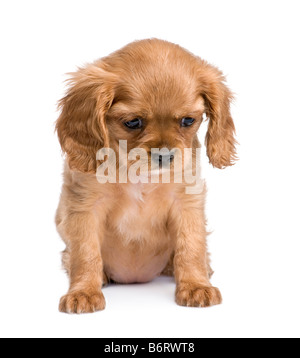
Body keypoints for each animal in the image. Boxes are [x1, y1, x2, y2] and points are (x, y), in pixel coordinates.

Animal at [55, 38, 236, 314]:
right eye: (132, 122)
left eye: (188, 120)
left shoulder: (187, 203)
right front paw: (83, 292)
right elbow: (85, 253)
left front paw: (196, 286)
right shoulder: (85, 206)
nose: (165, 156)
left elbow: (191, 247)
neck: (141, 176)